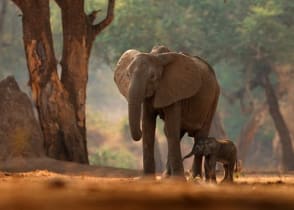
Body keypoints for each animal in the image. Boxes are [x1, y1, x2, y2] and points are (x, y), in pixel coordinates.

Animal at [113, 48, 219, 179]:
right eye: (128, 75)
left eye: (153, 77)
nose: (138, 133)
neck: (157, 57)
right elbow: (148, 126)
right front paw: (147, 179)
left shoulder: (175, 91)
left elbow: (170, 128)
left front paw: (178, 179)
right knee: (176, 133)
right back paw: (166, 177)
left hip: (214, 98)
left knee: (199, 135)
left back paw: (195, 178)